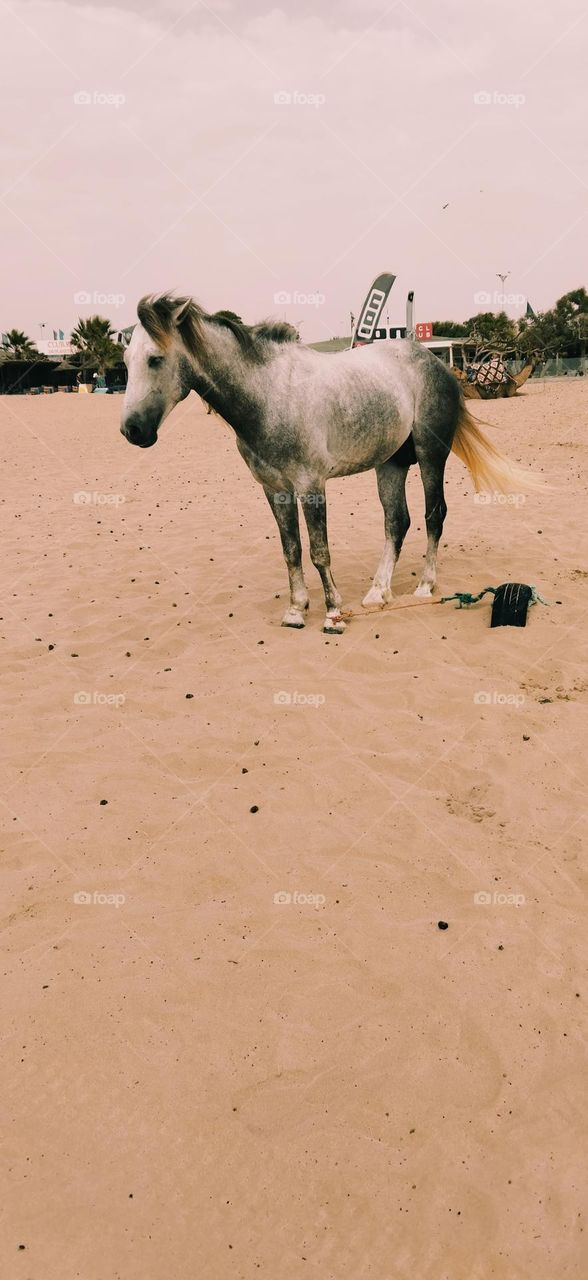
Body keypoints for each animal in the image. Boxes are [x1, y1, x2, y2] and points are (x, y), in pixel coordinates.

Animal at [121, 291, 532, 629]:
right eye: (126, 360)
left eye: (155, 359)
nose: (132, 430)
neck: (269, 394)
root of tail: (434, 362)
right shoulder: (275, 490)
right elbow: (292, 550)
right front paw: (296, 610)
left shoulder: (310, 485)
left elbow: (320, 551)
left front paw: (333, 612)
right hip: (391, 464)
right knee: (396, 522)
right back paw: (377, 592)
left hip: (431, 457)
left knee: (434, 515)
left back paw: (424, 587)